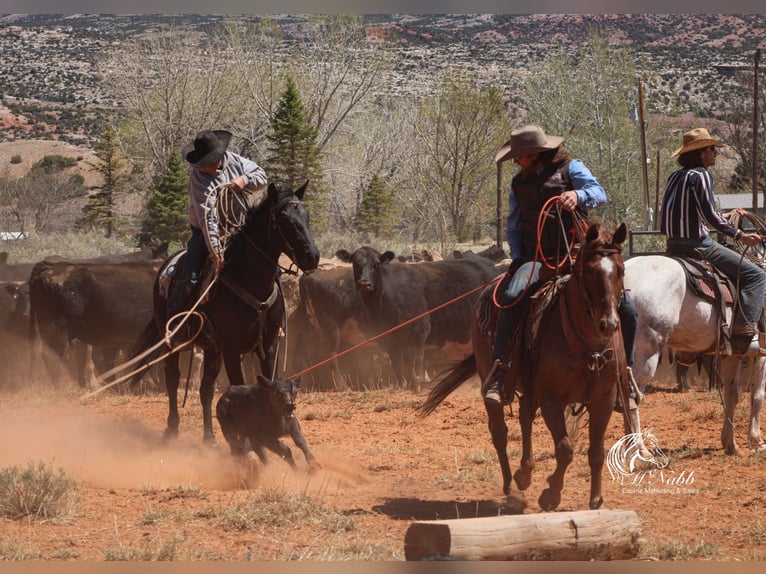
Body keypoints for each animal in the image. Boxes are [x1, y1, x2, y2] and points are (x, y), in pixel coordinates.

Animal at [131, 182, 320, 444]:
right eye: (284, 220)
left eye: (307, 216)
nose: (312, 257)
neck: (251, 282)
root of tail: (167, 265)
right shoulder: (232, 349)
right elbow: (239, 387)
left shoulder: (269, 345)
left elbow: (269, 384)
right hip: (172, 340)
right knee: (172, 378)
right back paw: (172, 428)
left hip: (212, 349)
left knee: (206, 389)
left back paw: (209, 436)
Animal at [336, 248, 504, 392]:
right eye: (355, 263)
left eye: (376, 264)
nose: (364, 284)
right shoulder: (389, 340)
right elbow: (396, 362)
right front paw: (402, 385)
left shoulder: (416, 333)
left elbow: (413, 360)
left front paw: (416, 384)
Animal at [420, 223, 632, 510]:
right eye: (589, 270)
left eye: (620, 270)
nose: (608, 324)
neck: (589, 347)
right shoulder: (551, 399)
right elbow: (565, 449)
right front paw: (551, 494)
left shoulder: (604, 399)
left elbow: (597, 451)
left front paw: (596, 499)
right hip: (491, 379)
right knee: (500, 431)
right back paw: (511, 486)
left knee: (523, 417)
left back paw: (525, 472)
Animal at [624, 256, 766, 460]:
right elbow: (757, 396)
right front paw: (757, 442)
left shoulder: (733, 355)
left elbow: (732, 395)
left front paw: (731, 444)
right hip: (646, 353)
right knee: (633, 397)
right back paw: (640, 449)